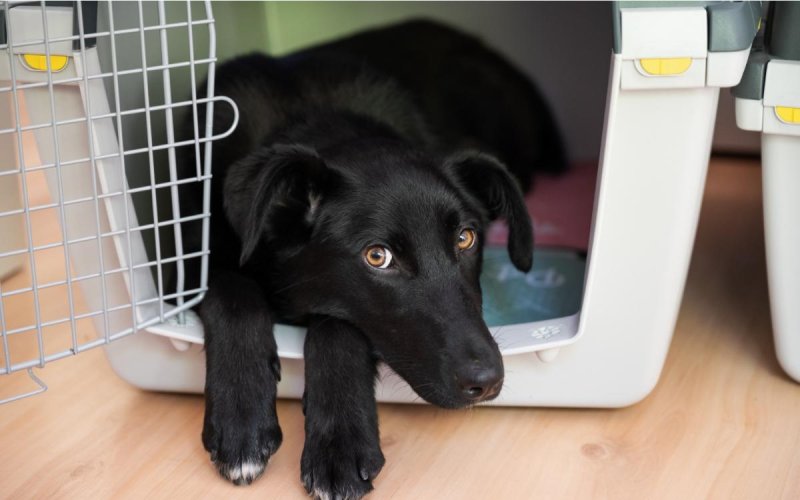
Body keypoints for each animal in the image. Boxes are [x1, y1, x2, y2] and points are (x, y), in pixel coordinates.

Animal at [177, 18, 564, 500]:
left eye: (465, 238)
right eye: (377, 256)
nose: (487, 381)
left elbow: (338, 326)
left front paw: (340, 445)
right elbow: (232, 291)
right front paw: (242, 417)